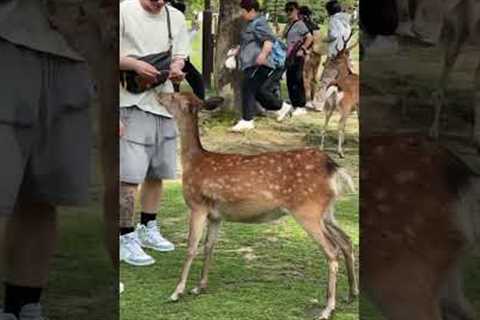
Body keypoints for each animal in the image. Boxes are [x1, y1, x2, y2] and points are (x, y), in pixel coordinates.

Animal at [156, 92, 358, 320]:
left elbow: (191, 247)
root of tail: (334, 168)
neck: (193, 162)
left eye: (173, 96)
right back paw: (351, 294)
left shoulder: (198, 205)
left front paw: (177, 292)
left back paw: (327, 308)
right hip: (327, 211)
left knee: (332, 249)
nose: (158, 94)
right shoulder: (216, 215)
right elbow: (209, 246)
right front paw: (200, 287)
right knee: (346, 240)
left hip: (308, 210)